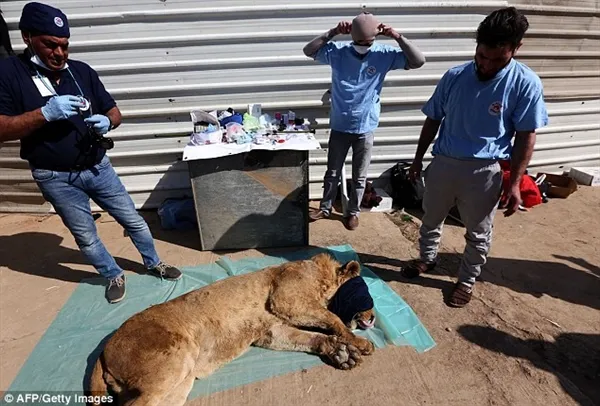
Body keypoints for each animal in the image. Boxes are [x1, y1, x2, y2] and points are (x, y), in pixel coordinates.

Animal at [86, 252, 376, 404]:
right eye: (364, 291)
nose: (373, 318)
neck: (320, 276)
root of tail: (104, 349)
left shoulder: (274, 330)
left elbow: (311, 337)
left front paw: (341, 353)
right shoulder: (287, 300)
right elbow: (333, 318)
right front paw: (358, 343)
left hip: (180, 382)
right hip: (173, 365)